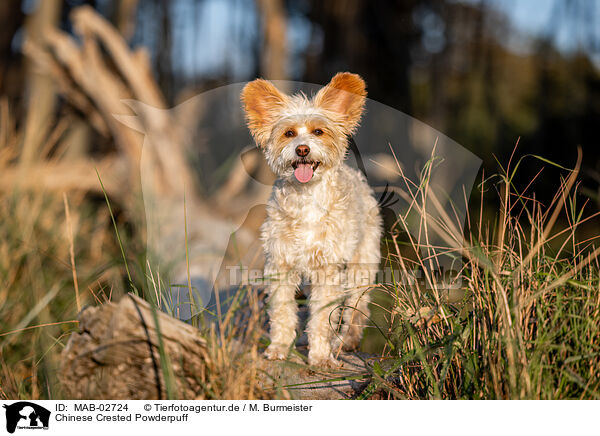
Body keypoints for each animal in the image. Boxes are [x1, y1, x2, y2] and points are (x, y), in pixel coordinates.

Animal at [241, 73, 382, 366]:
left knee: (357, 305)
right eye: (289, 133)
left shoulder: (327, 269)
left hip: (361, 262)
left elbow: (321, 317)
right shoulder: (280, 264)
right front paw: (279, 348)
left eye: (318, 132)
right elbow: (282, 312)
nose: (302, 149)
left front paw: (320, 357)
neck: (307, 199)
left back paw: (347, 341)